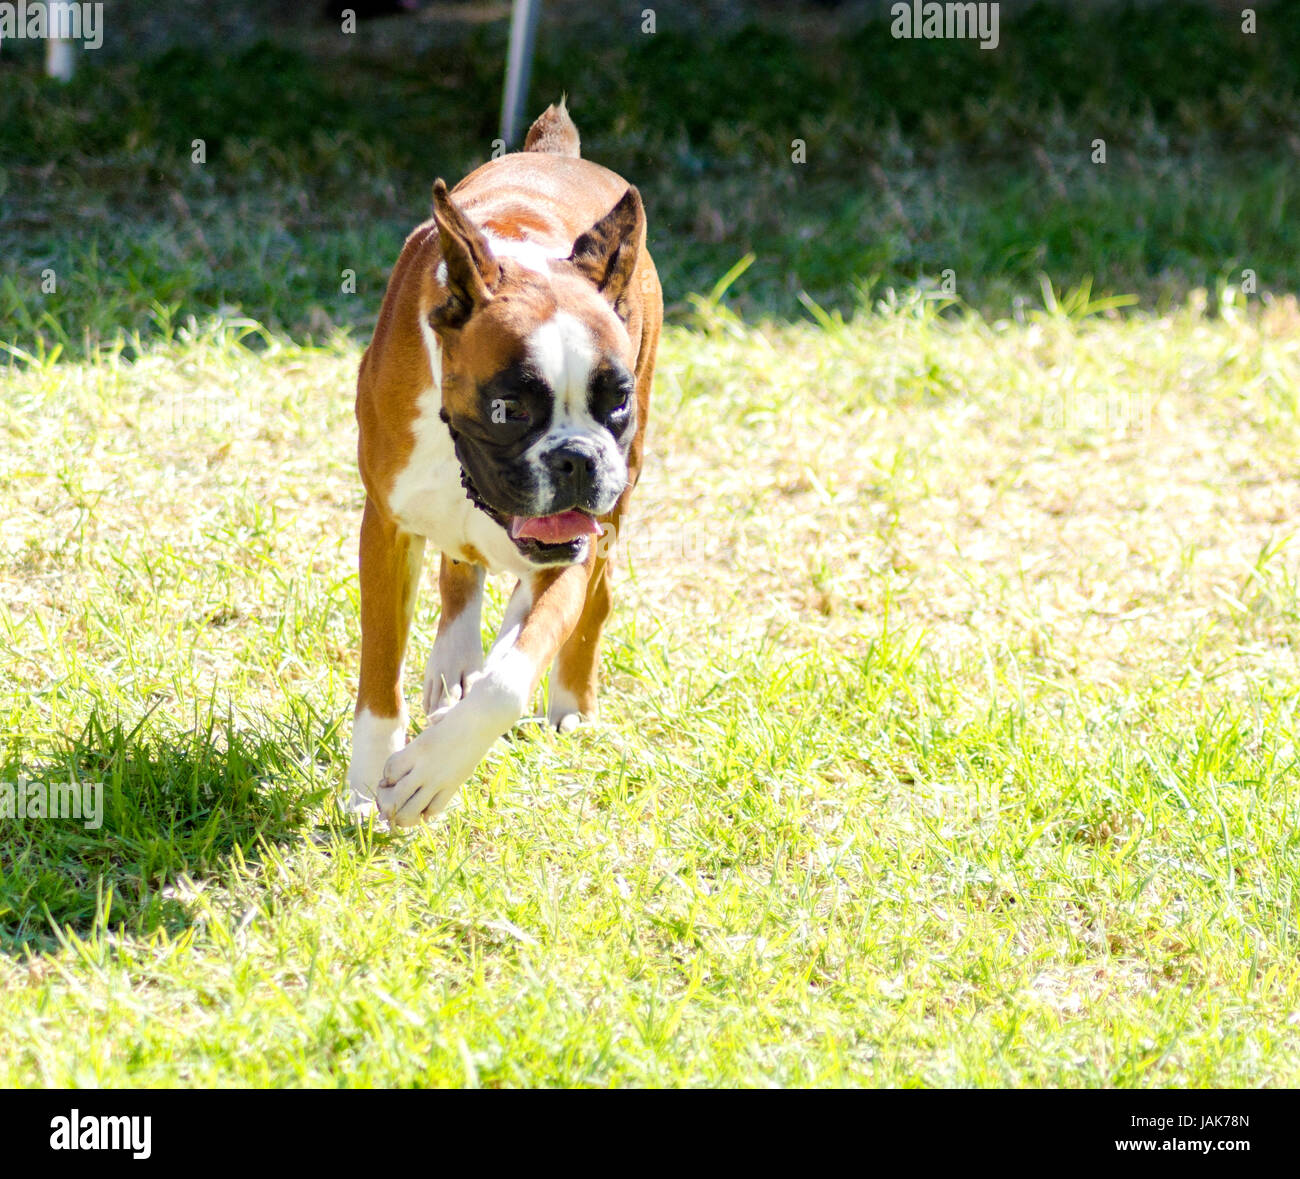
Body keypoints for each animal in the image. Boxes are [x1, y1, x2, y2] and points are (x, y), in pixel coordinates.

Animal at [345, 101, 660, 831]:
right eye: (509, 408)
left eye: (616, 399)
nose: (577, 459)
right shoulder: (386, 529)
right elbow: (379, 670)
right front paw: (368, 778)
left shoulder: (576, 548)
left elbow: (510, 678)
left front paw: (431, 771)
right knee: (461, 568)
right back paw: (455, 660)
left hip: (617, 505)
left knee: (580, 605)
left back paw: (565, 702)